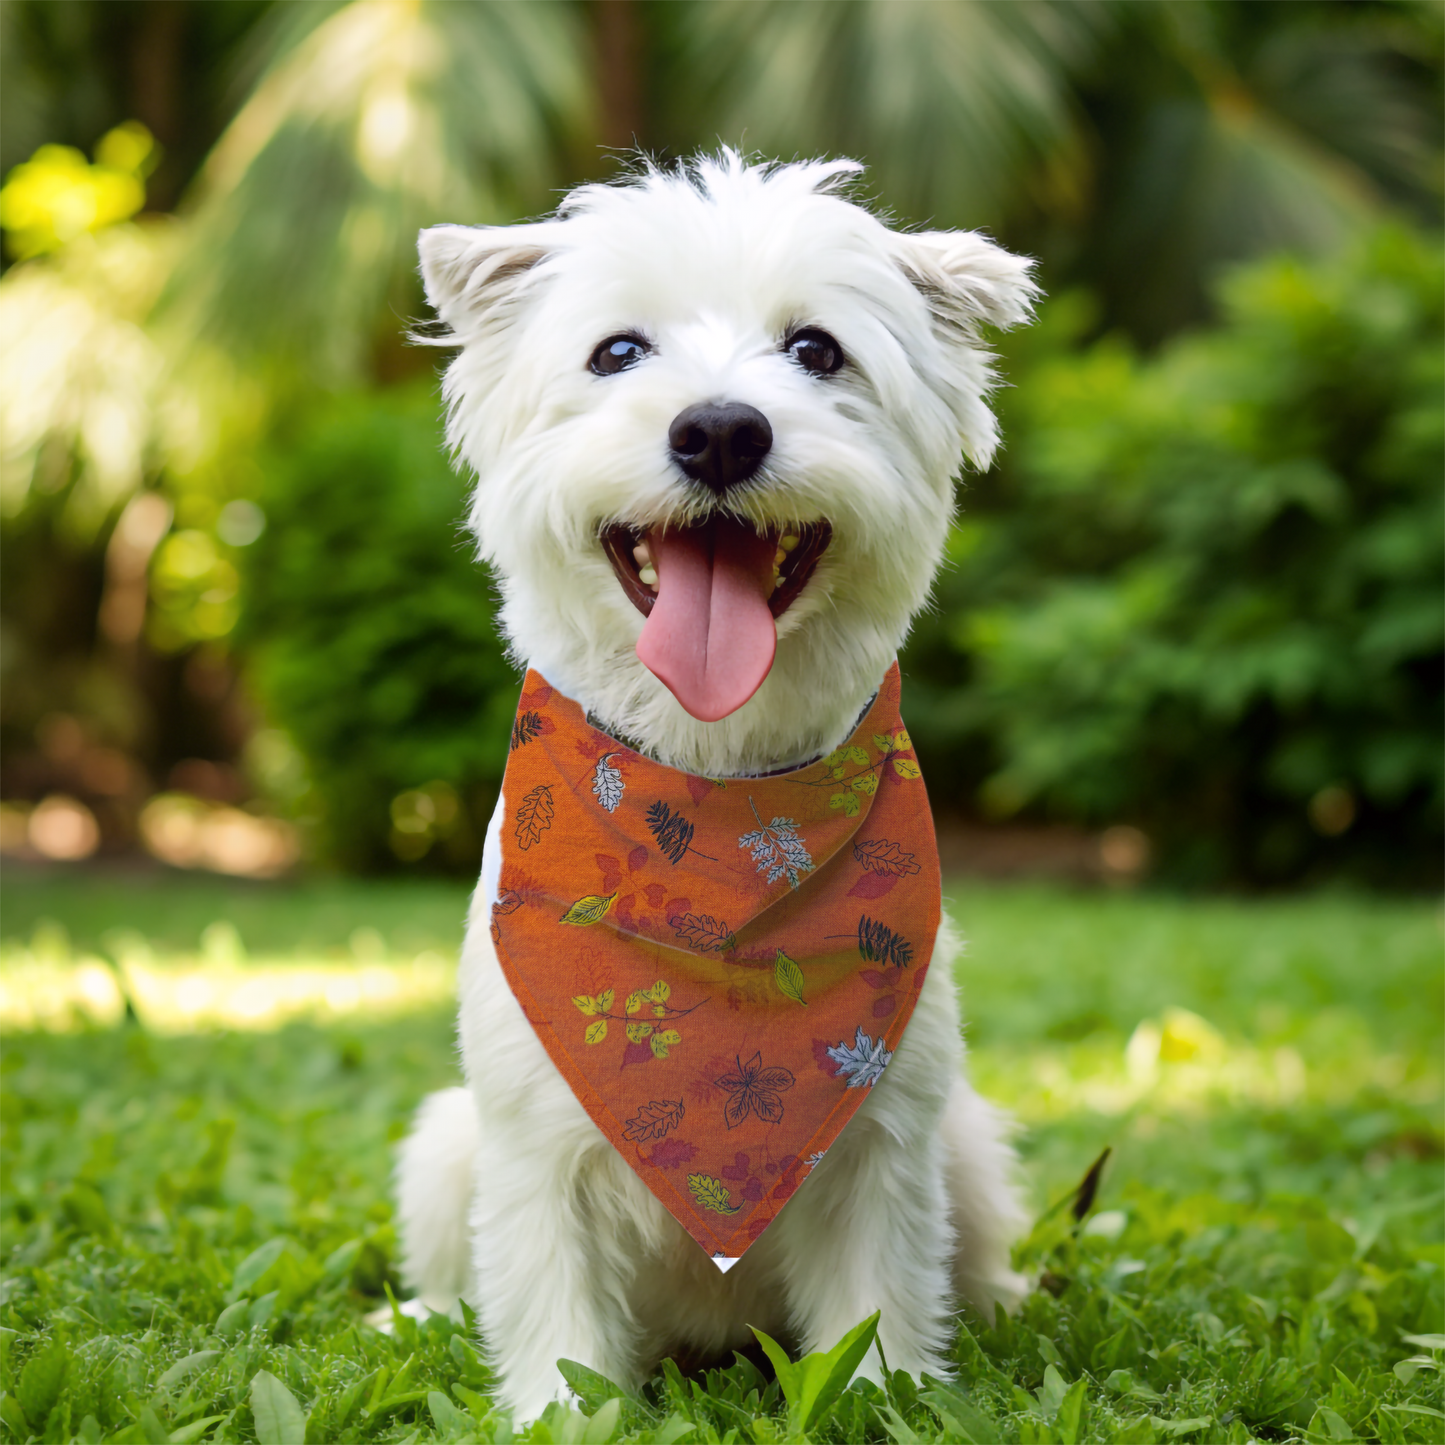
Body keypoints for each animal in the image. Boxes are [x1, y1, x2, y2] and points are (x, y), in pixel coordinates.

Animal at [395, 152, 1040, 1416]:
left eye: (817, 350)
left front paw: (887, 1395)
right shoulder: (534, 1141)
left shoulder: (884, 1135)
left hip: (969, 1143)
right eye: (615, 352)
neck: (714, 804)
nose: (719, 431)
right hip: (444, 1147)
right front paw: (558, 1415)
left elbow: (876, 1300)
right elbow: (551, 1312)